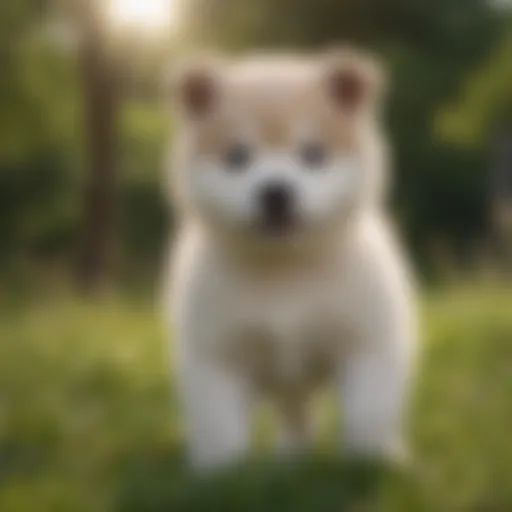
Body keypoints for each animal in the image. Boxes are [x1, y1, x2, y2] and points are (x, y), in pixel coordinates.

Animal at [164, 49, 416, 472]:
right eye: (238, 157)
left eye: (312, 154)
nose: (275, 191)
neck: (286, 270)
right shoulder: (218, 356)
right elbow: (221, 429)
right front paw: (222, 474)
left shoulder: (366, 341)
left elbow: (368, 411)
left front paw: (372, 461)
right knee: (292, 416)